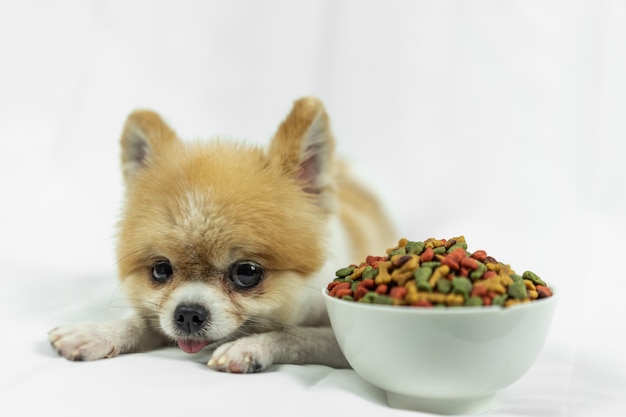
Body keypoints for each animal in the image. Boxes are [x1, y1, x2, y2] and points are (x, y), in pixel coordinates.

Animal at [48, 96, 392, 370]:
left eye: (247, 273)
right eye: (160, 270)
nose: (187, 314)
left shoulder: (344, 339)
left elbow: (299, 334)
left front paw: (251, 346)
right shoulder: (160, 315)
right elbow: (143, 320)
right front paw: (97, 332)